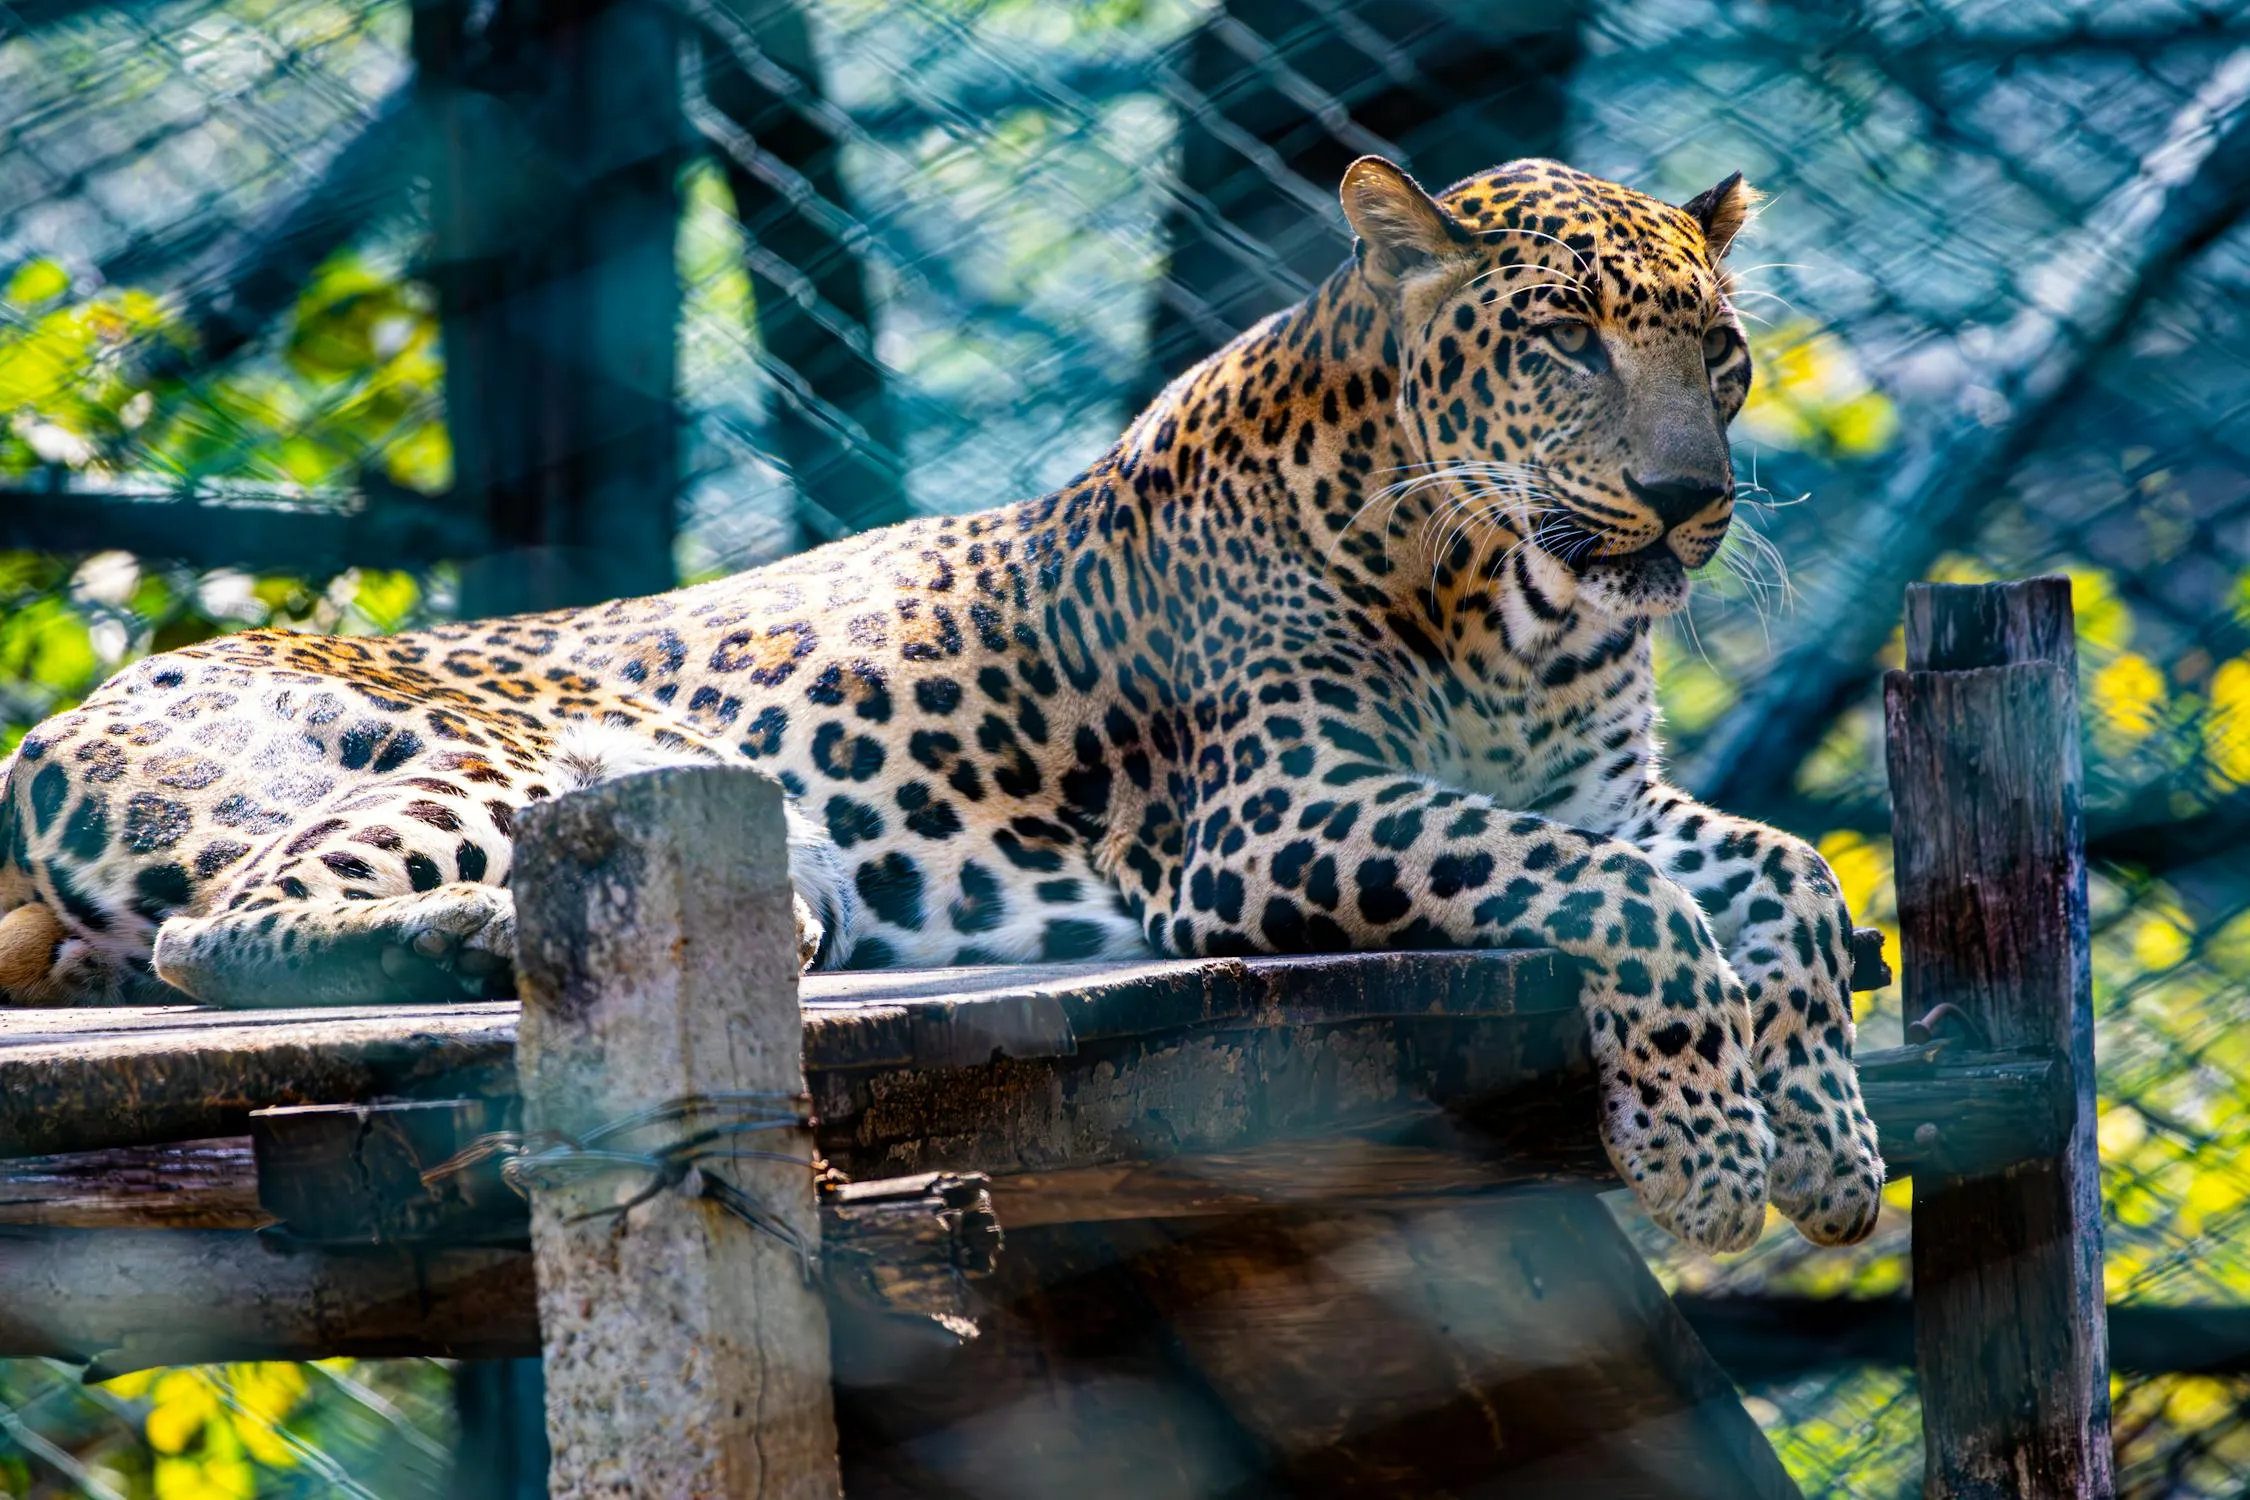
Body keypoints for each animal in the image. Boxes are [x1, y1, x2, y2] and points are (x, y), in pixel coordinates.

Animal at [0, 156, 1883, 1253]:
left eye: (1719, 350)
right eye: (1565, 339)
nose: (1690, 501)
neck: (1513, 612)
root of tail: (77, 708)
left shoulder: (1600, 790)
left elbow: (1785, 875)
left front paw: (1828, 1143)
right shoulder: (1274, 816)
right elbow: (1626, 902)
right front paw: (1707, 1156)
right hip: (515, 760)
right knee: (225, 926)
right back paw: (478, 940)